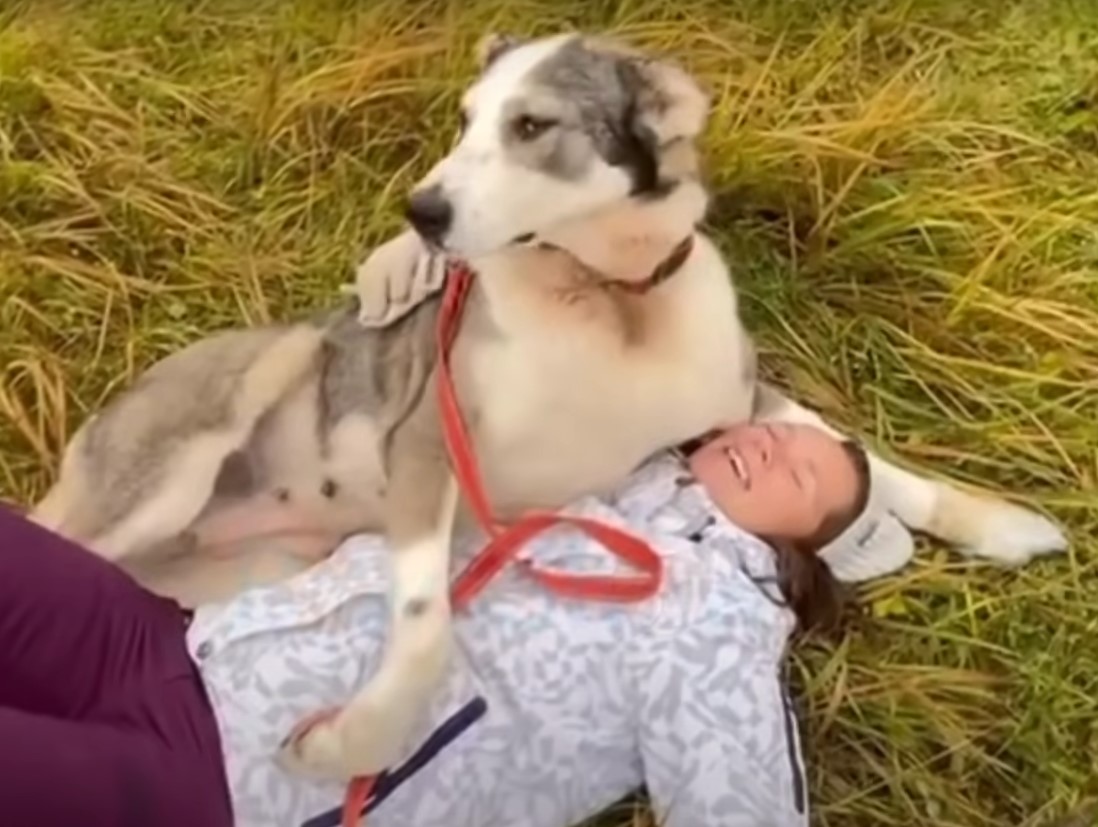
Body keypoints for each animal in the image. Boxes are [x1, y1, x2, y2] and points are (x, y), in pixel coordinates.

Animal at [32, 32, 1062, 781]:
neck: (614, 301)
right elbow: (423, 623)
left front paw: (1002, 523)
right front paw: (358, 743)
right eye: (464, 121)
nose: (419, 215)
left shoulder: (737, 401)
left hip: (248, 565)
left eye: (533, 125)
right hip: (212, 428)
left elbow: (870, 461)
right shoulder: (427, 443)